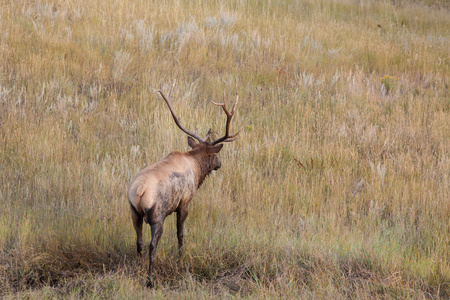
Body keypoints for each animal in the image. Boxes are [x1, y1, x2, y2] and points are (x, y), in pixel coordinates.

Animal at [126, 88, 239, 288]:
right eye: (213, 156)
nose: (219, 164)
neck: (196, 169)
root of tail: (139, 191)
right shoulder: (184, 202)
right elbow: (180, 233)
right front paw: (180, 258)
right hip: (157, 215)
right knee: (152, 244)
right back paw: (149, 280)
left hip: (134, 213)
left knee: (138, 242)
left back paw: (139, 268)